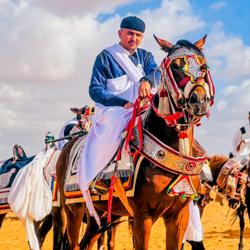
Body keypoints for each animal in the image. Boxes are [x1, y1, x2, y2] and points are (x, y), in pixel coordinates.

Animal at [56, 34, 215, 249]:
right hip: (74, 209)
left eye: (204, 66)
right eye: (175, 66)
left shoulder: (178, 216)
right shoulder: (142, 217)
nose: (199, 100)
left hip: (100, 215)